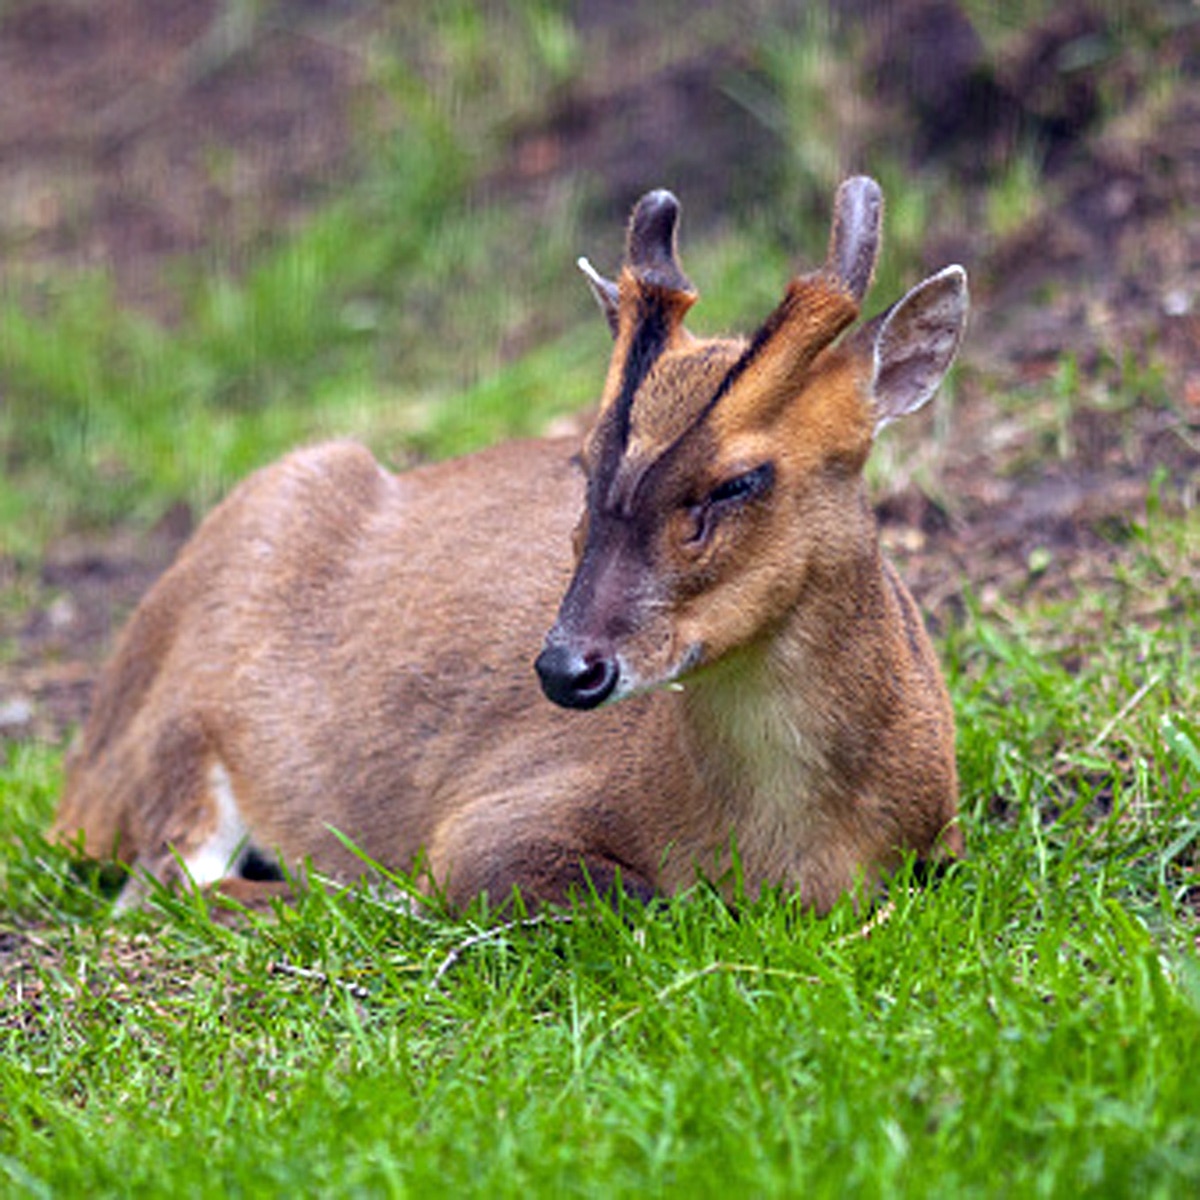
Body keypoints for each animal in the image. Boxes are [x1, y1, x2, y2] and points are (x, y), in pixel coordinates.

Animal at [52, 176, 968, 915]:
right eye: (585, 460)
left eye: (740, 480)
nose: (568, 668)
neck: (799, 855)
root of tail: (81, 773)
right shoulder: (490, 823)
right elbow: (632, 897)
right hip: (178, 736)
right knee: (160, 886)